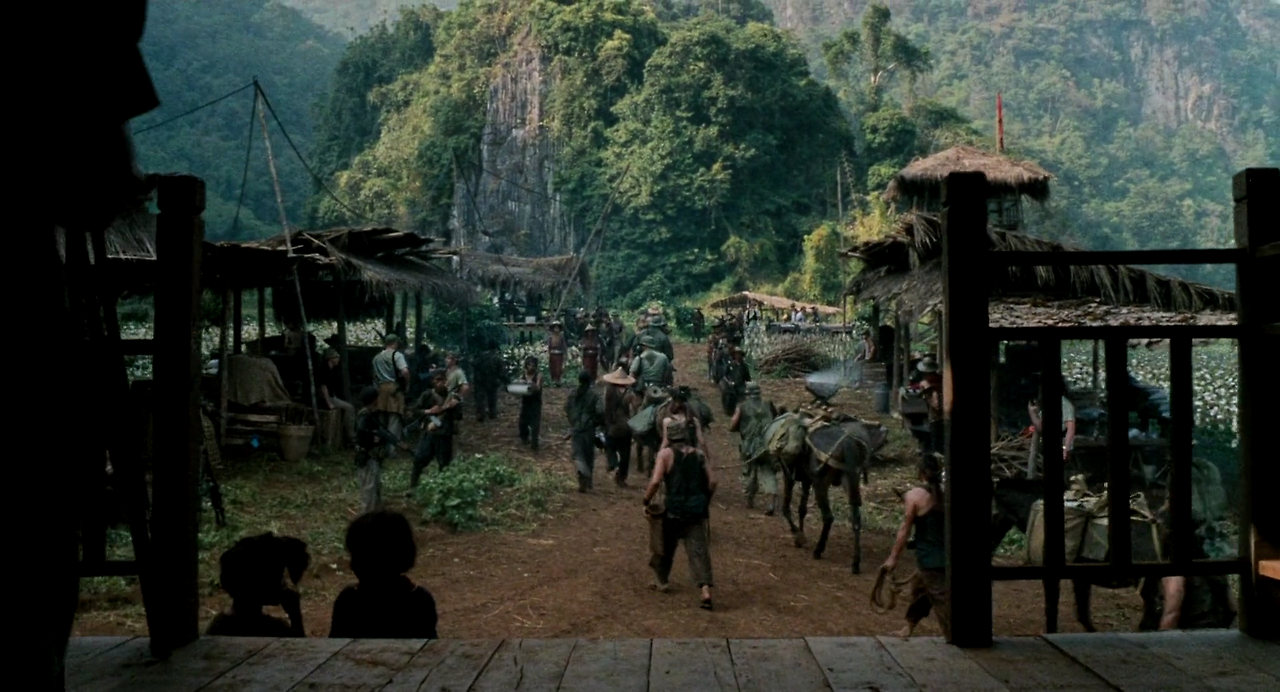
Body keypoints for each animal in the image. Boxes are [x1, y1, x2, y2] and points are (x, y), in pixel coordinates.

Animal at [779, 415, 887, 574]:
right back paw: (855, 562)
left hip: (821, 484)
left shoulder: (790, 475)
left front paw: (798, 536)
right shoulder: (806, 480)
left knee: (828, 517)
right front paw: (801, 534)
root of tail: (847, 444)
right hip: (851, 479)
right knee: (856, 518)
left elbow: (786, 508)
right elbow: (802, 509)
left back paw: (818, 550)